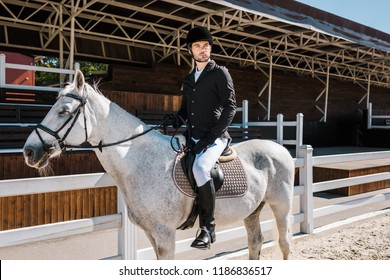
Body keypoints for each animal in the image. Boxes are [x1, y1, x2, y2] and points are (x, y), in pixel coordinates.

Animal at [22, 70, 294, 260]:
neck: (141, 162)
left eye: (64, 111)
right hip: (253, 210)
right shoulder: (151, 233)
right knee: (255, 243)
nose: (29, 151)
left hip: (281, 206)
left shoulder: (165, 234)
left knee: (284, 243)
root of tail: (279, 147)